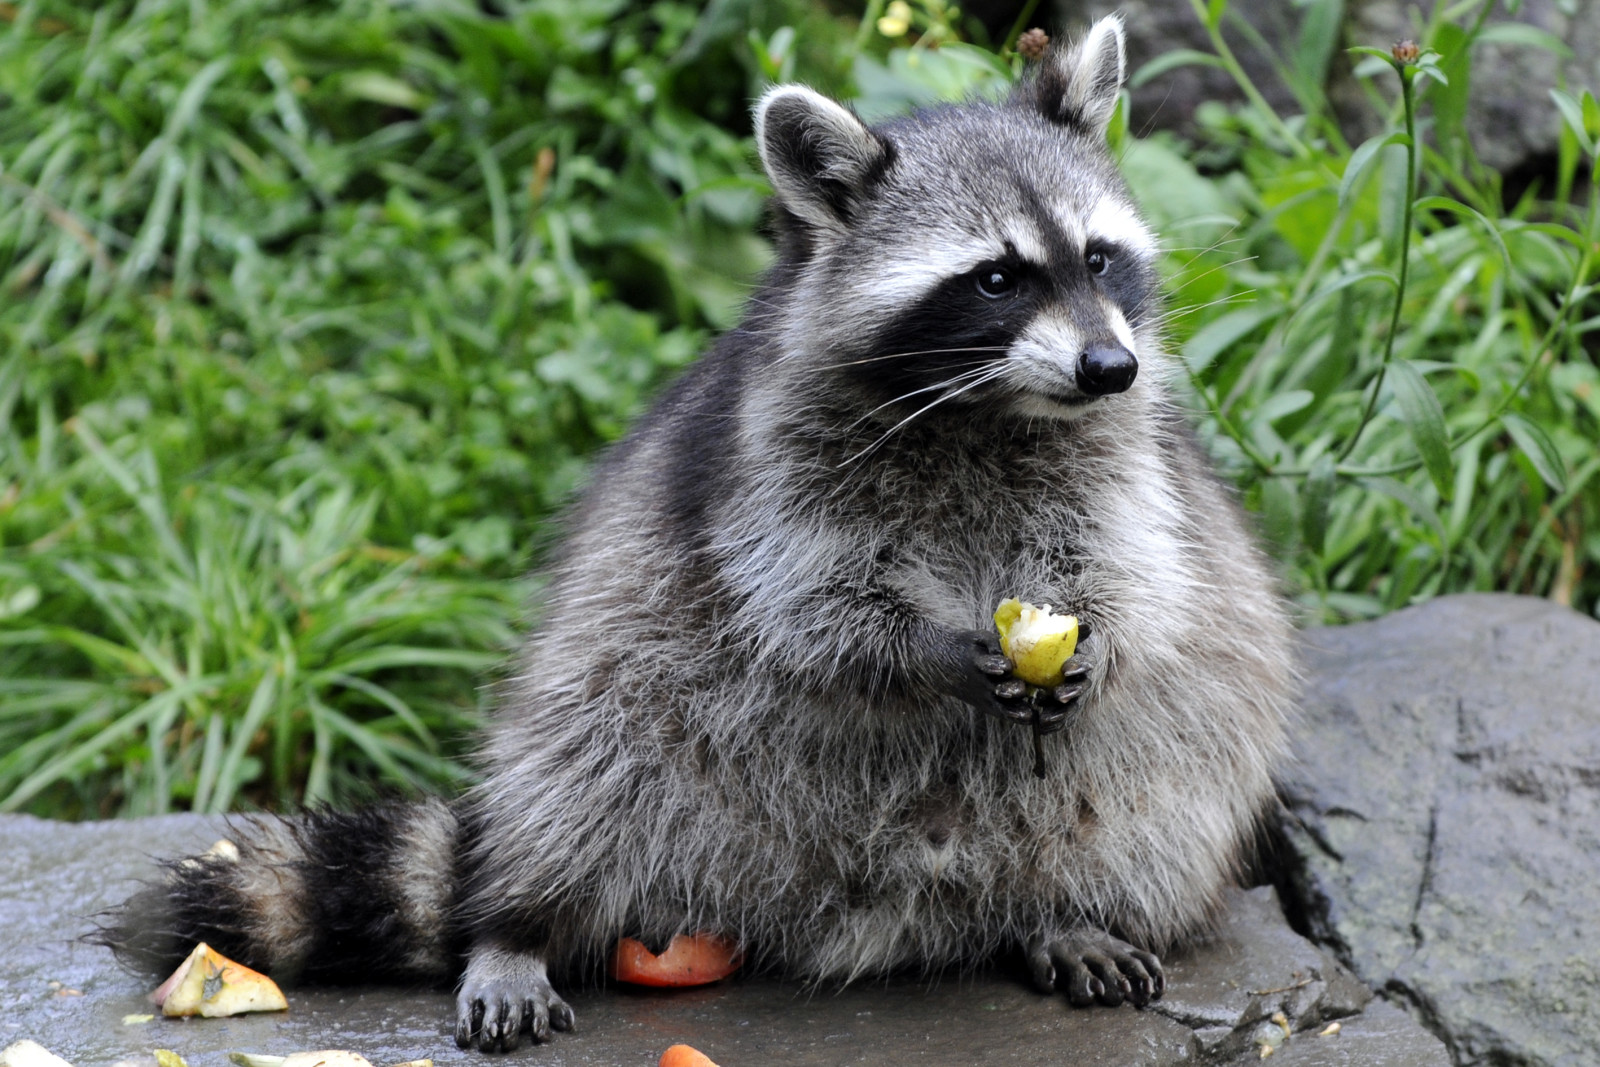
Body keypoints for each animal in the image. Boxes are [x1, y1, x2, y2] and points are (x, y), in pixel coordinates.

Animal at [96, 18, 1299, 1062]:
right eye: (998, 276)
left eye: (1097, 259)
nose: (1110, 366)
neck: (992, 407)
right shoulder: (771, 455)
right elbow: (808, 604)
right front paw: (928, 648)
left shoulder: (1124, 462)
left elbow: (1143, 571)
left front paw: (1095, 640)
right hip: (633, 706)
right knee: (580, 763)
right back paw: (518, 924)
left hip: (1150, 775)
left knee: (1160, 780)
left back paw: (1065, 907)